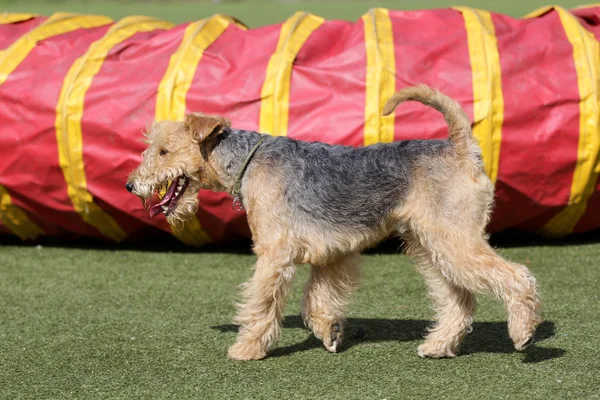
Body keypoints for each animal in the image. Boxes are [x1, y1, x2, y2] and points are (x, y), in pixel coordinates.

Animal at [125, 84, 540, 360]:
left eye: (164, 151)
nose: (131, 185)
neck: (246, 161)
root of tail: (460, 147)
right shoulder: (332, 253)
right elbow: (315, 302)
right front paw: (330, 333)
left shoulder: (274, 254)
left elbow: (261, 303)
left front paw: (246, 349)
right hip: (430, 246)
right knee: (460, 300)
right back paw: (437, 345)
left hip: (453, 240)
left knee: (517, 276)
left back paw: (523, 334)